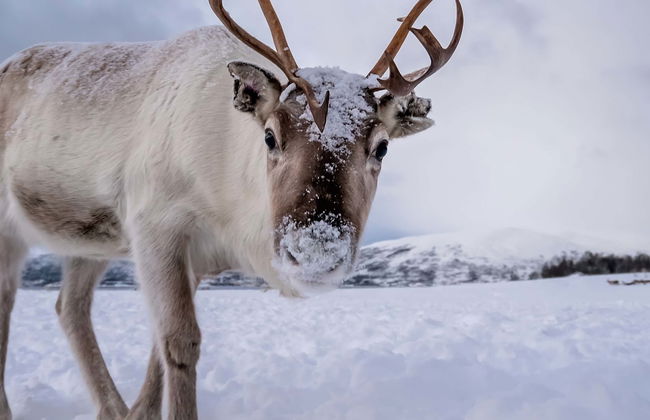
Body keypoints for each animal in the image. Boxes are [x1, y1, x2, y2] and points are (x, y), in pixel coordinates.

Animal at [0, 0, 463, 418]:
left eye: (381, 147)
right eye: (270, 137)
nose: (315, 253)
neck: (231, 214)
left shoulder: (195, 258)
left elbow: (158, 349)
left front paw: (139, 414)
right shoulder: (154, 227)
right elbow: (179, 343)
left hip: (88, 242)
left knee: (70, 308)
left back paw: (111, 409)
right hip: (11, 231)